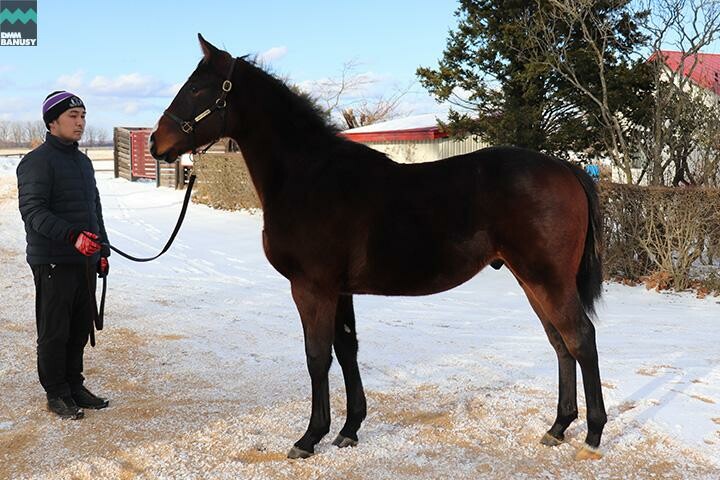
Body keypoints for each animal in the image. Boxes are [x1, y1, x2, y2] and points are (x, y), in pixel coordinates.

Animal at [150, 34, 607, 461]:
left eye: (197, 89)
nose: (156, 142)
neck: (309, 177)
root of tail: (567, 168)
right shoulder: (339, 290)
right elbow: (346, 350)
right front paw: (348, 430)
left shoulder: (311, 288)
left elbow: (317, 356)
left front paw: (309, 437)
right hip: (532, 281)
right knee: (560, 342)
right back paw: (558, 427)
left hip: (546, 280)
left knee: (581, 338)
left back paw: (593, 434)